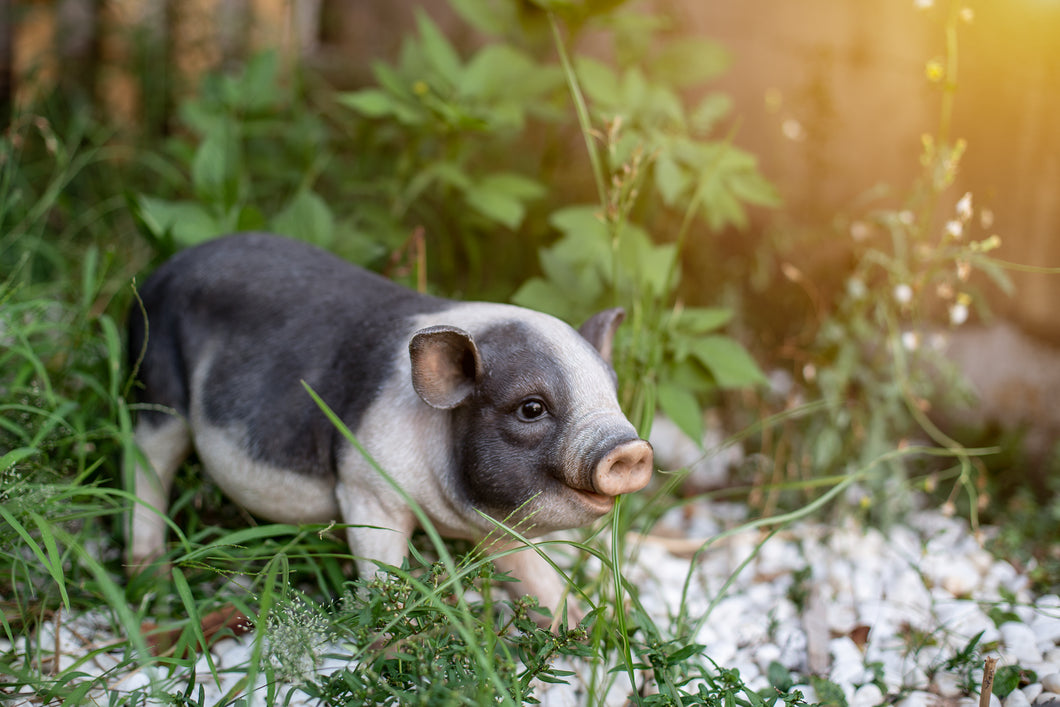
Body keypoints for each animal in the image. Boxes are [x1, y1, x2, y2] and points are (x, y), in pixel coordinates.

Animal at [126, 231, 652, 614]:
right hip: (153, 382)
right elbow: (382, 572)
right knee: (147, 466)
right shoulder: (367, 487)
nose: (629, 448)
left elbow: (533, 572)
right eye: (531, 408)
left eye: (612, 390)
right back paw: (148, 580)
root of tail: (161, 271)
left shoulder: (503, 527)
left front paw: (577, 630)